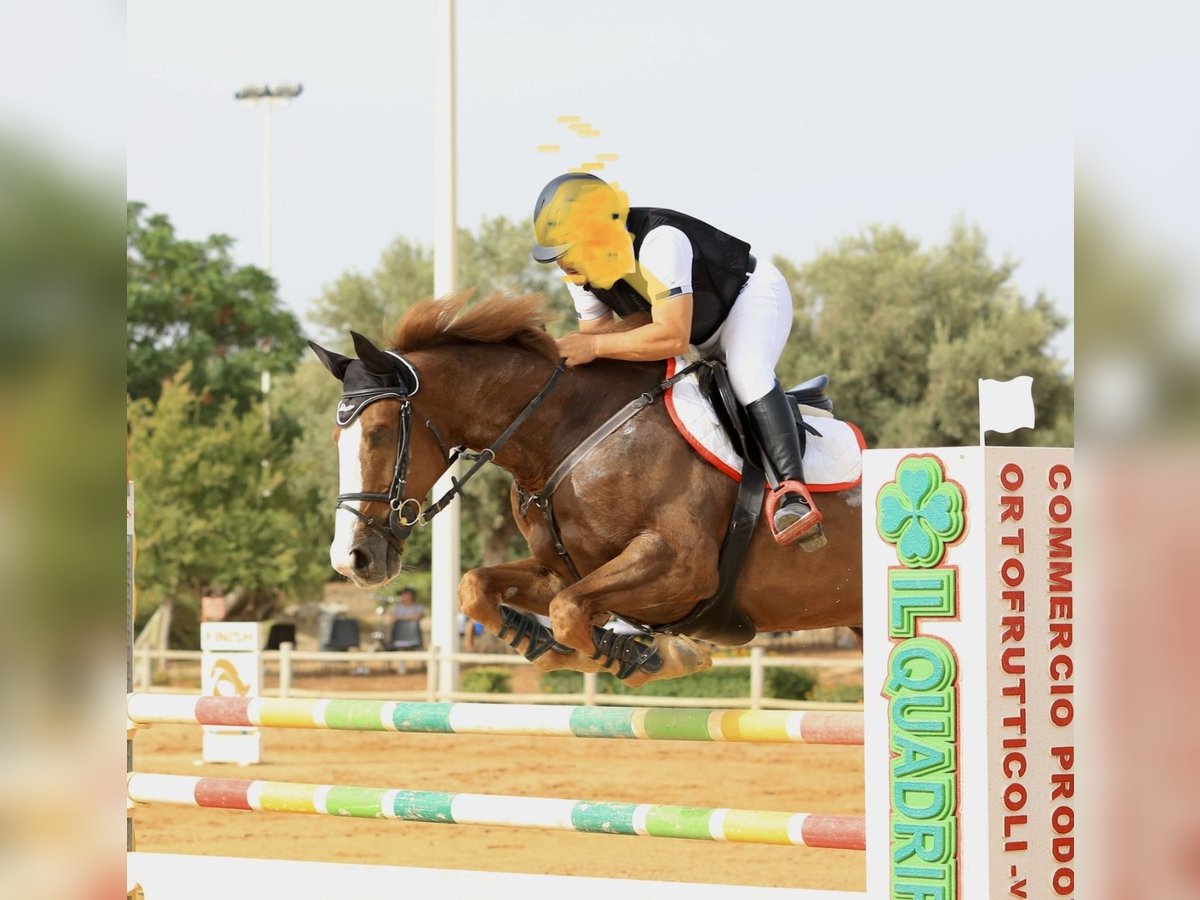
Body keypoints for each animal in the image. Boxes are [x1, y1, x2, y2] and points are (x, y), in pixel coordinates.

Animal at [304, 292, 859, 686]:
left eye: (378, 432)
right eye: (334, 438)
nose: (350, 559)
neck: (566, 434)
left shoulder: (683, 567)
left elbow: (569, 613)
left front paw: (648, 655)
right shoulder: (564, 569)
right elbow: (478, 589)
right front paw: (535, 641)